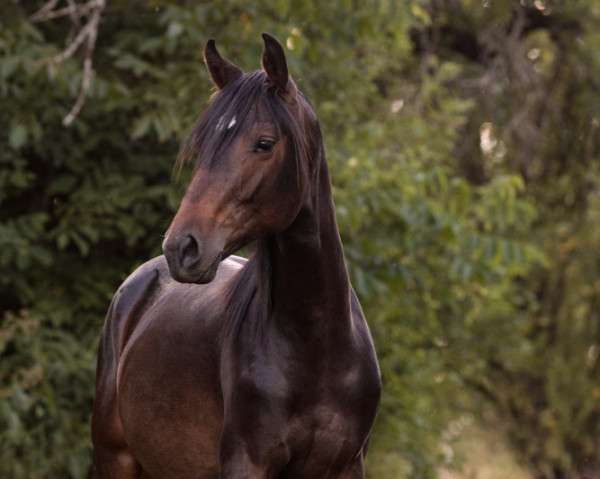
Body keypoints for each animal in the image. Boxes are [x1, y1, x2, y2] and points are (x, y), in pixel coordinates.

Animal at [91, 34, 382, 479]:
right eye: (203, 147)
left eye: (264, 143)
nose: (181, 247)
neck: (318, 347)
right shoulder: (246, 461)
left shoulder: (346, 466)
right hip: (116, 459)